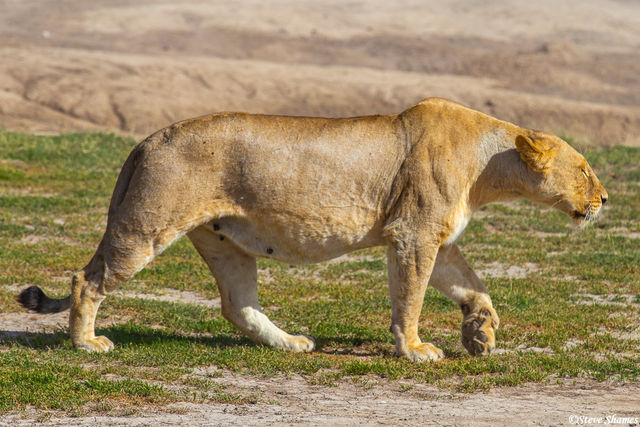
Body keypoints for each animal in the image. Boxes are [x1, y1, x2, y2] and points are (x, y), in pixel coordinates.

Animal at [18, 98, 607, 362]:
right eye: (584, 170)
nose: (605, 199)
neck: (489, 165)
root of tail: (144, 141)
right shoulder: (412, 234)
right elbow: (411, 298)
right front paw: (415, 349)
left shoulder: (437, 239)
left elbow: (472, 285)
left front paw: (480, 332)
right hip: (146, 227)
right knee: (87, 280)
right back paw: (87, 343)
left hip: (224, 239)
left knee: (238, 305)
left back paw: (291, 343)